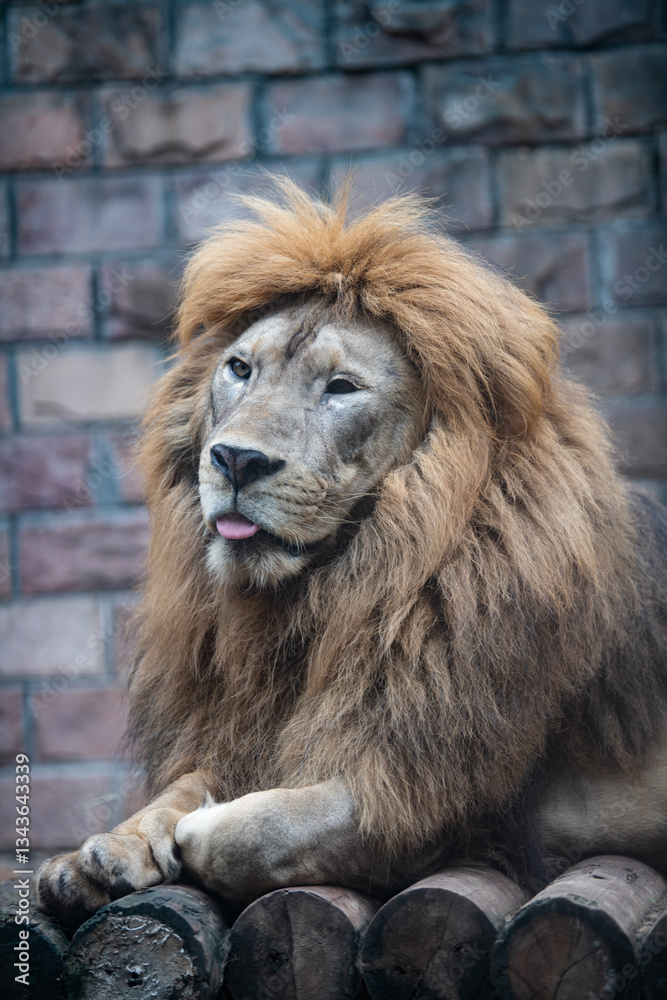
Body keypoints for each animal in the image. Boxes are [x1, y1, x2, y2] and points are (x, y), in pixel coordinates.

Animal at [38, 179, 667, 926]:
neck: (322, 597)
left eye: (340, 387)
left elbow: (283, 824)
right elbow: (186, 782)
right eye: (239, 369)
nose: (235, 460)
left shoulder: (453, 801)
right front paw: (109, 847)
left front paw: (201, 830)